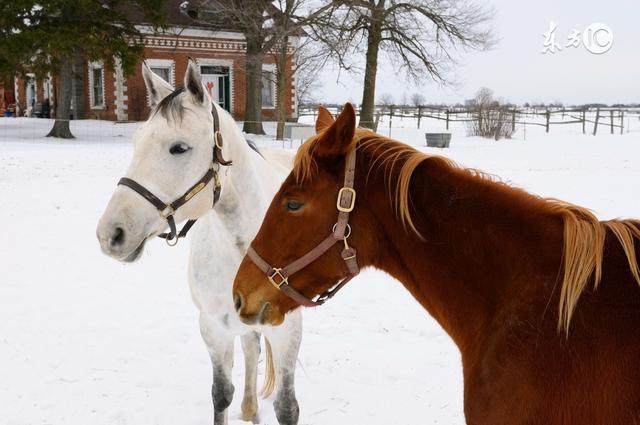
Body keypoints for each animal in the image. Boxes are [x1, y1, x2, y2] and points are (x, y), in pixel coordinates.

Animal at [97, 60, 302, 424]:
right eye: (136, 141)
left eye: (179, 147)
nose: (111, 233)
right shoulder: (214, 328)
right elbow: (221, 394)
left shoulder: (287, 330)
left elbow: (286, 407)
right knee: (250, 347)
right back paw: (249, 408)